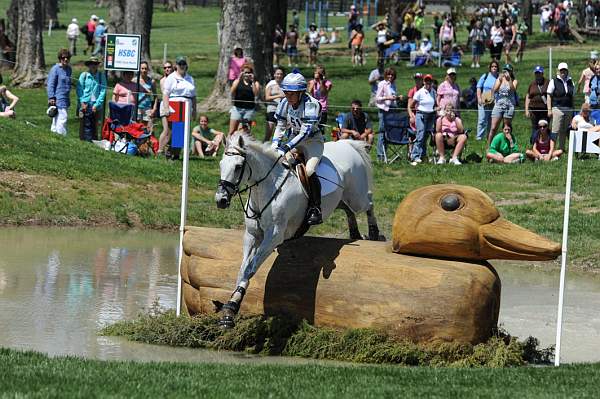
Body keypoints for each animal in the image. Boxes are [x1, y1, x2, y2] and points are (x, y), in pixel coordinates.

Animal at [214, 133, 380, 330]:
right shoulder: (252, 235)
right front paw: (229, 309)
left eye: (238, 166)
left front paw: (232, 306)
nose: (221, 200)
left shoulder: (273, 237)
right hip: (342, 200)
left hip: (356, 197)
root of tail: (347, 143)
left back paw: (375, 233)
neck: (267, 187)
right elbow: (242, 269)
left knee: (369, 202)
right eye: (221, 164)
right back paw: (355, 233)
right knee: (348, 210)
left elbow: (250, 269)